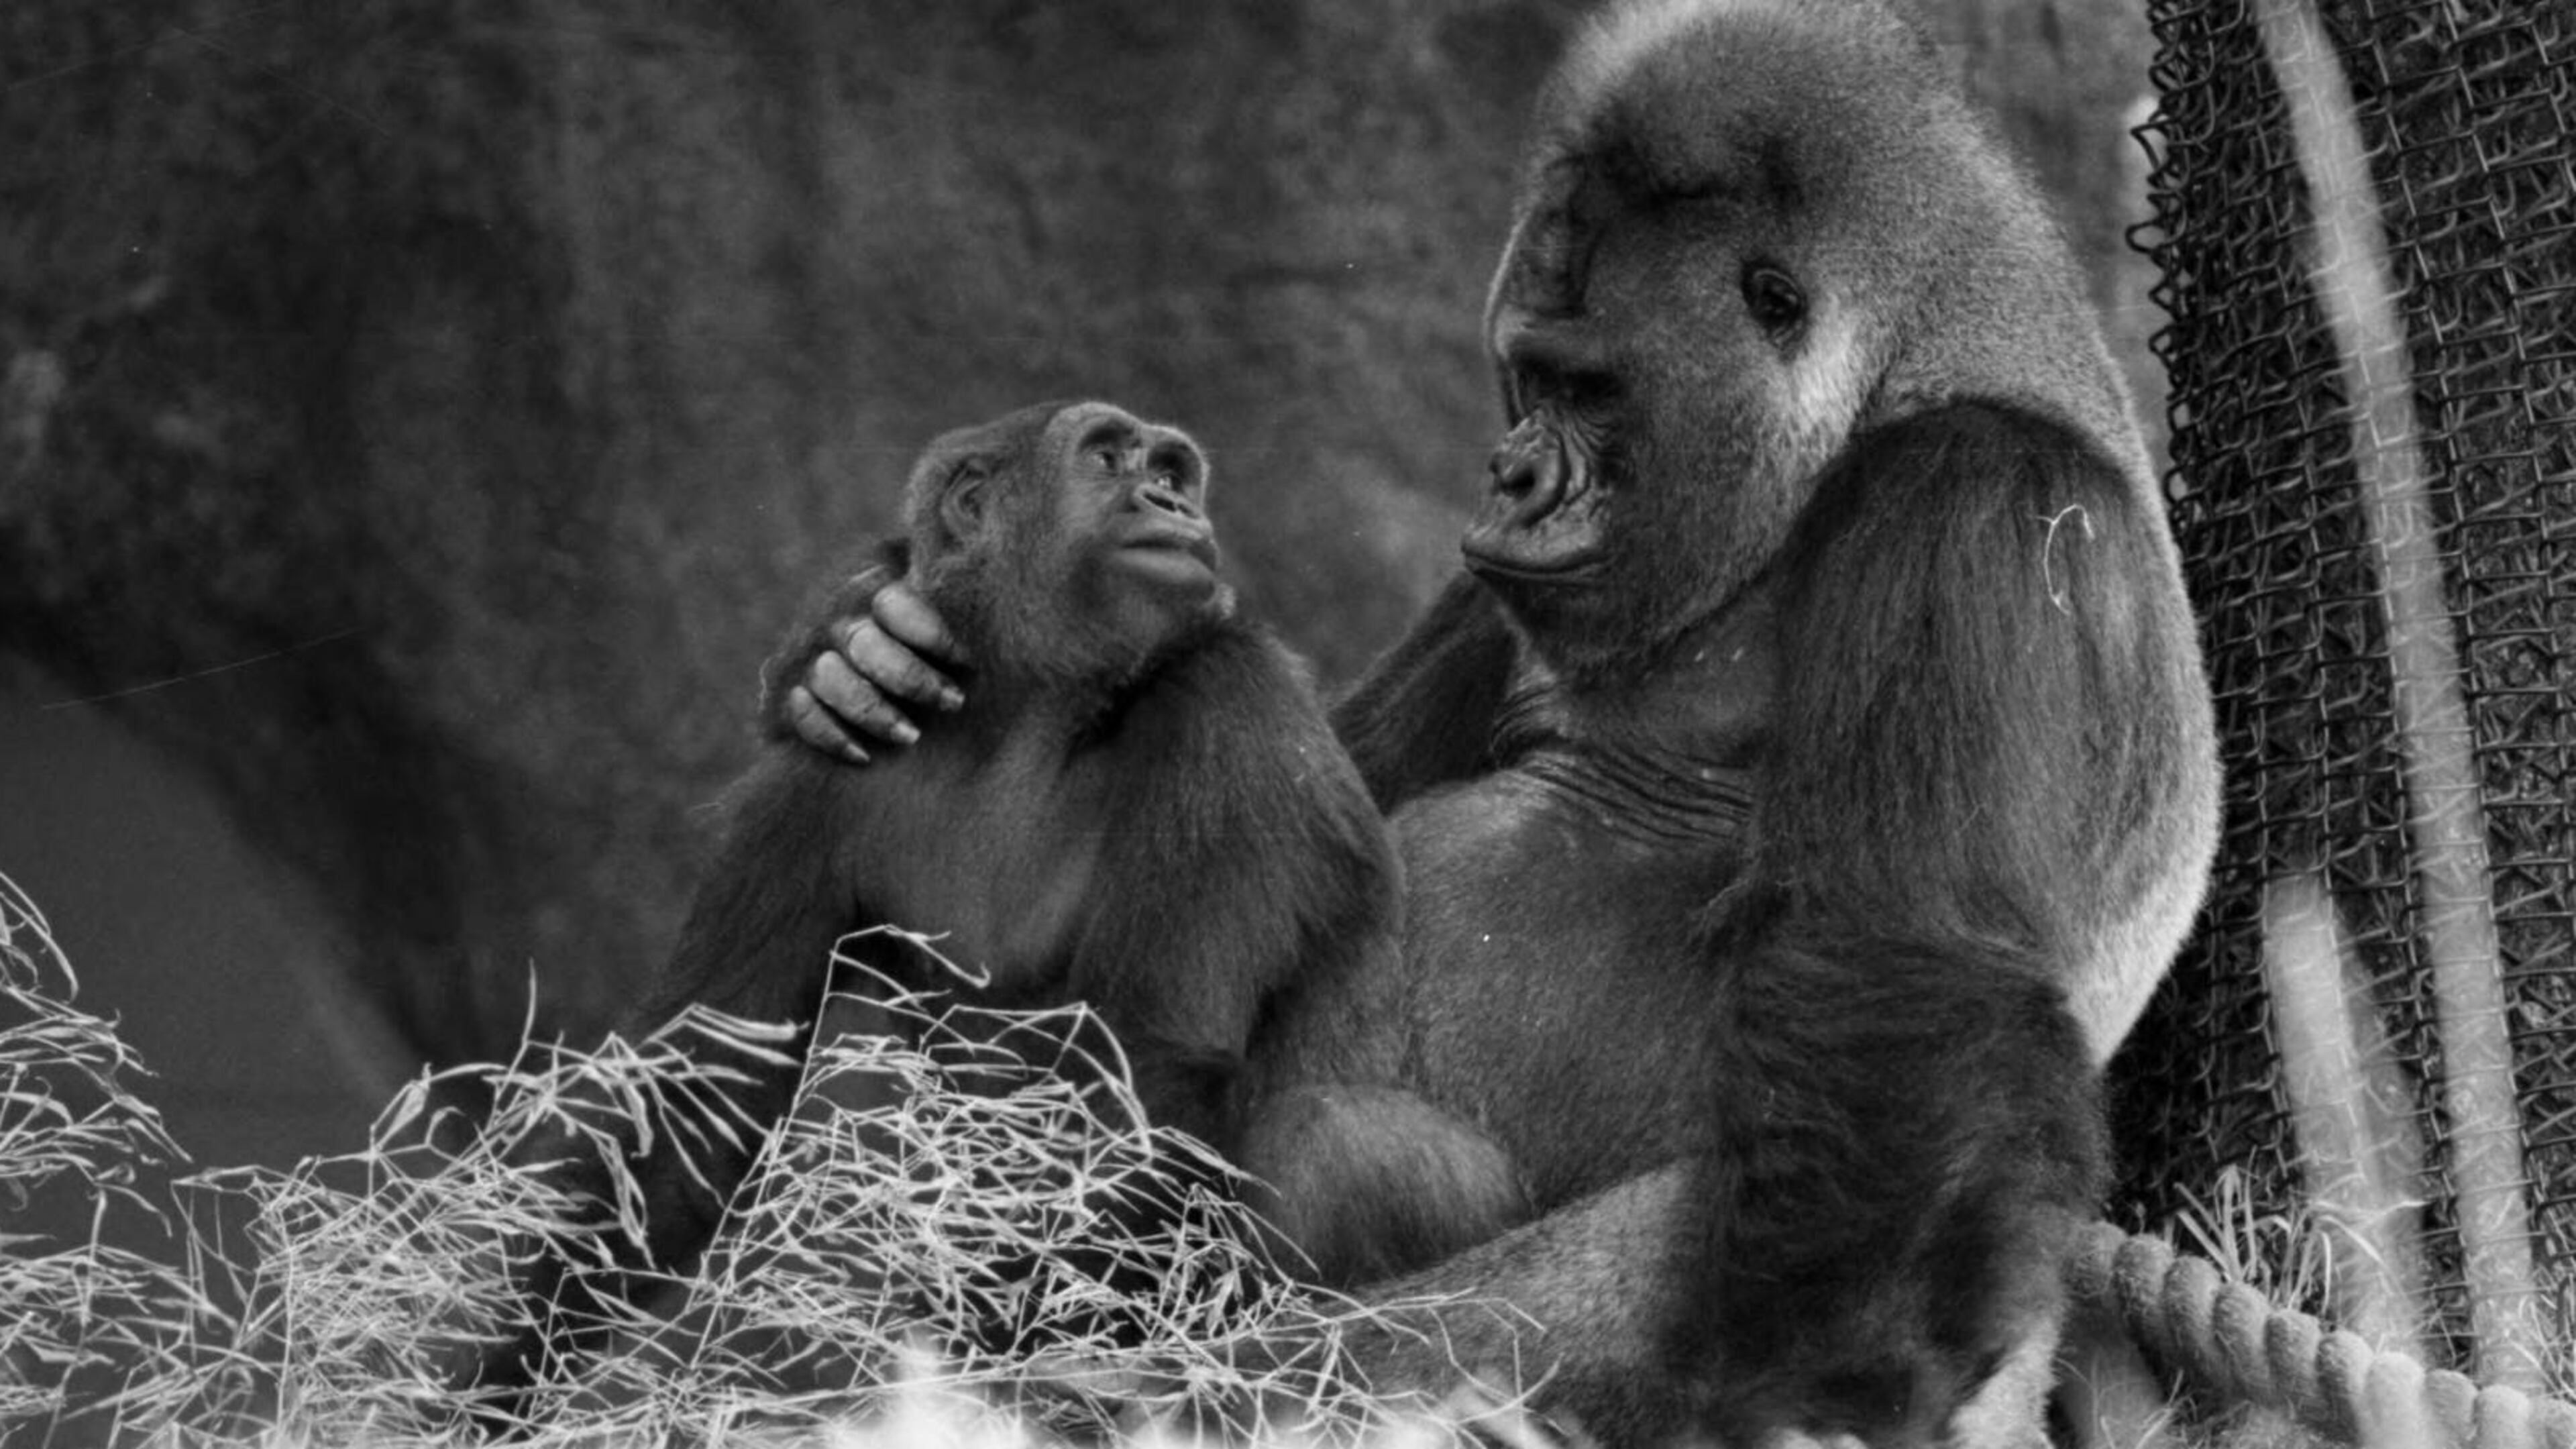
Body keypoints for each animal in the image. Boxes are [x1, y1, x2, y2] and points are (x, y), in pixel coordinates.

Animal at [776, 2, 2221, 1442]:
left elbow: (1904, 988)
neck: (1904, 377)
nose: (1511, 478)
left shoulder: (1979, 506)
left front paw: (1814, 1393)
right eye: (1527, 379)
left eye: (1594, 390)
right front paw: (854, 643)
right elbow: (1328, 798)